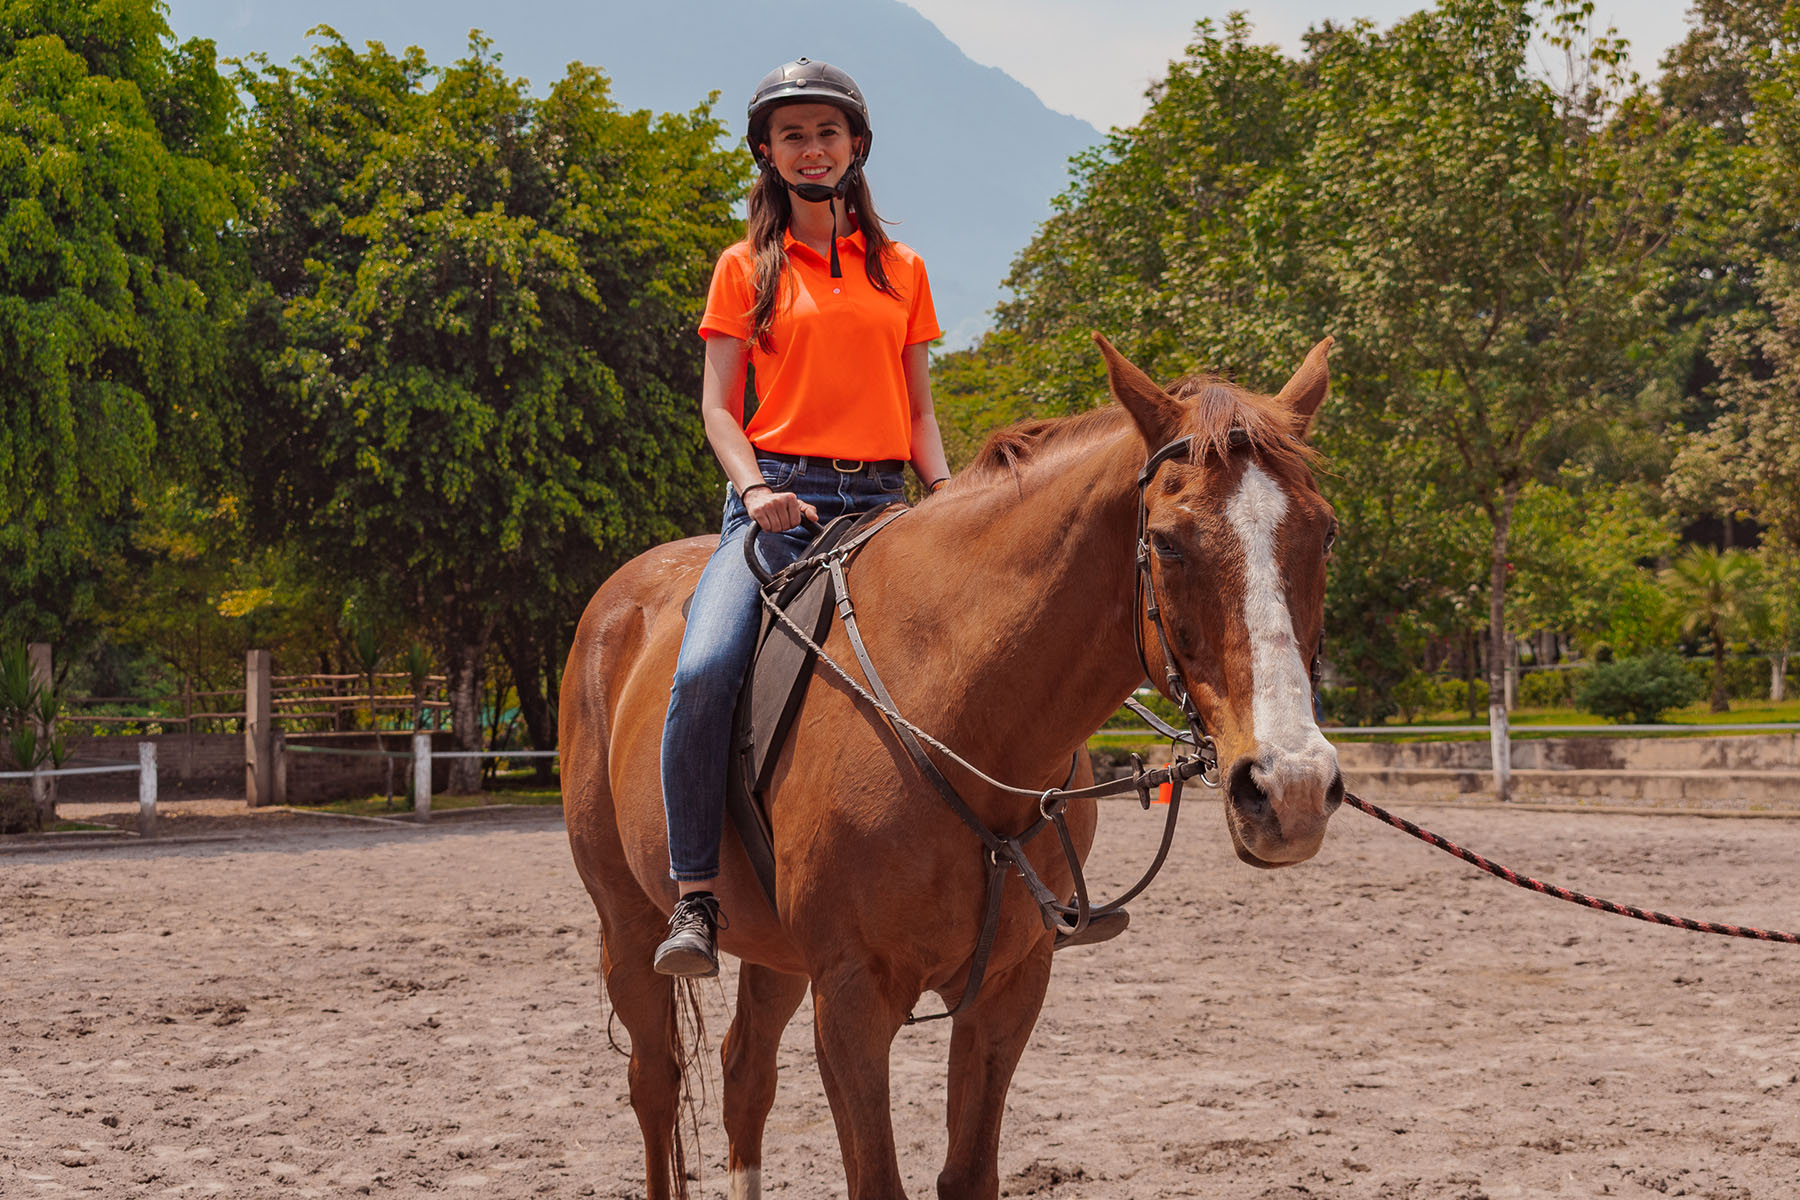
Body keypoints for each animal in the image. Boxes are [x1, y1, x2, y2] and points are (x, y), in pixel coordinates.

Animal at [559, 332, 1344, 1200]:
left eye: (1326, 533)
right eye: (1168, 541)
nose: (1290, 788)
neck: (956, 712)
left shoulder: (1008, 987)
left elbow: (969, 1172)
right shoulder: (852, 998)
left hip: (775, 950)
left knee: (744, 1074)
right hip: (629, 922)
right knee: (655, 1084)